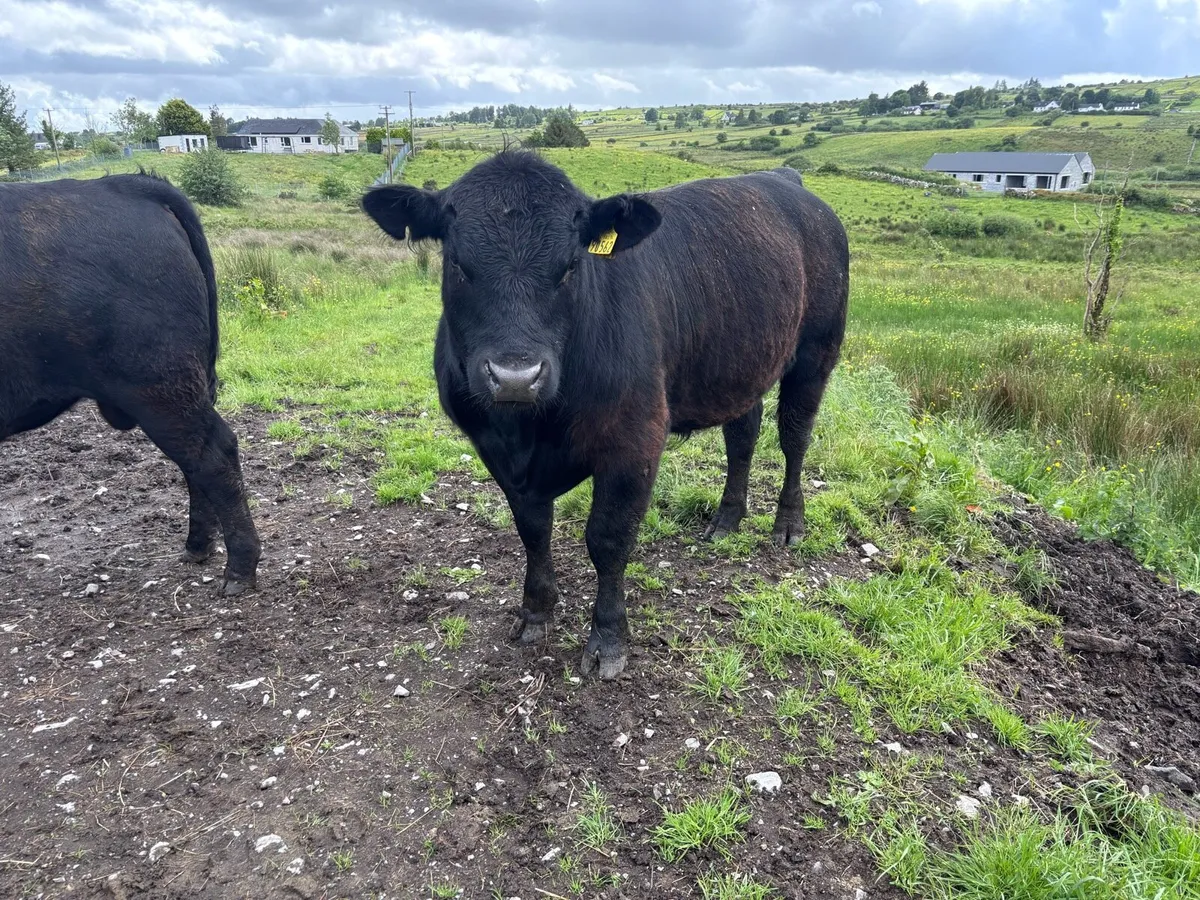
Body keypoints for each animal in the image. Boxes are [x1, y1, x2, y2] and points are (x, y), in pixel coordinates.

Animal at [0, 174, 261, 596]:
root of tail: (124, 183)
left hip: (159, 388)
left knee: (212, 455)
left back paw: (238, 570)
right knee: (196, 463)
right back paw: (197, 547)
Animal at [362, 151, 848, 679]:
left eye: (571, 265)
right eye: (457, 264)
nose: (515, 377)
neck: (529, 431)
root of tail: (784, 181)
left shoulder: (635, 440)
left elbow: (608, 539)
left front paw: (608, 639)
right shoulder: (495, 449)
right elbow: (533, 531)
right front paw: (535, 613)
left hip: (816, 350)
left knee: (794, 437)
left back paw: (788, 523)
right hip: (740, 363)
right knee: (742, 434)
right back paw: (726, 519)